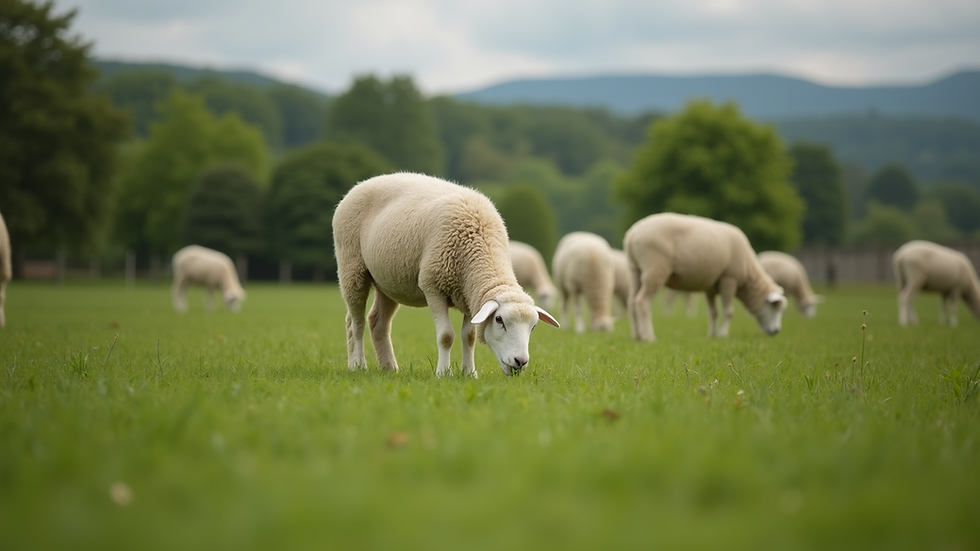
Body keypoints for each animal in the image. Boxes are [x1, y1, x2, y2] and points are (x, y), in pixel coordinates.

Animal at [332, 172, 559, 378]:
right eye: (499, 320)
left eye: (534, 326)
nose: (520, 362)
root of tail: (362, 183)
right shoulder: (433, 286)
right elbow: (446, 336)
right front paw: (443, 373)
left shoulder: (469, 295)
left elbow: (469, 336)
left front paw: (469, 373)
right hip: (352, 267)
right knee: (356, 322)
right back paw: (358, 365)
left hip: (389, 282)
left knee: (377, 322)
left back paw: (389, 368)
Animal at [623, 213, 787, 341]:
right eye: (775, 307)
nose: (776, 331)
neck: (749, 276)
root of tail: (632, 234)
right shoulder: (729, 279)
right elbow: (729, 312)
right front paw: (723, 335)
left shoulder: (711, 286)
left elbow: (713, 313)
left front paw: (712, 335)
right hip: (655, 268)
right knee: (642, 302)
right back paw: (648, 337)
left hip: (635, 269)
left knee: (631, 302)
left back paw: (637, 336)